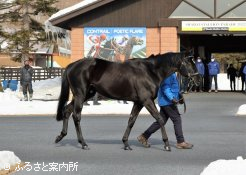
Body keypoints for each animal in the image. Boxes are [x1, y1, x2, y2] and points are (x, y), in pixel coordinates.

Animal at [54, 51, 199, 150]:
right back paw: (83, 143)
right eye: (188, 62)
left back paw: (61, 136)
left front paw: (126, 143)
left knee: (67, 111)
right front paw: (167, 144)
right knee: (76, 116)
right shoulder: (147, 100)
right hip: (80, 94)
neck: (150, 71)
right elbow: (159, 119)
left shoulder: (139, 102)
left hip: (85, 95)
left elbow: (131, 121)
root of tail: (71, 66)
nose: (198, 79)